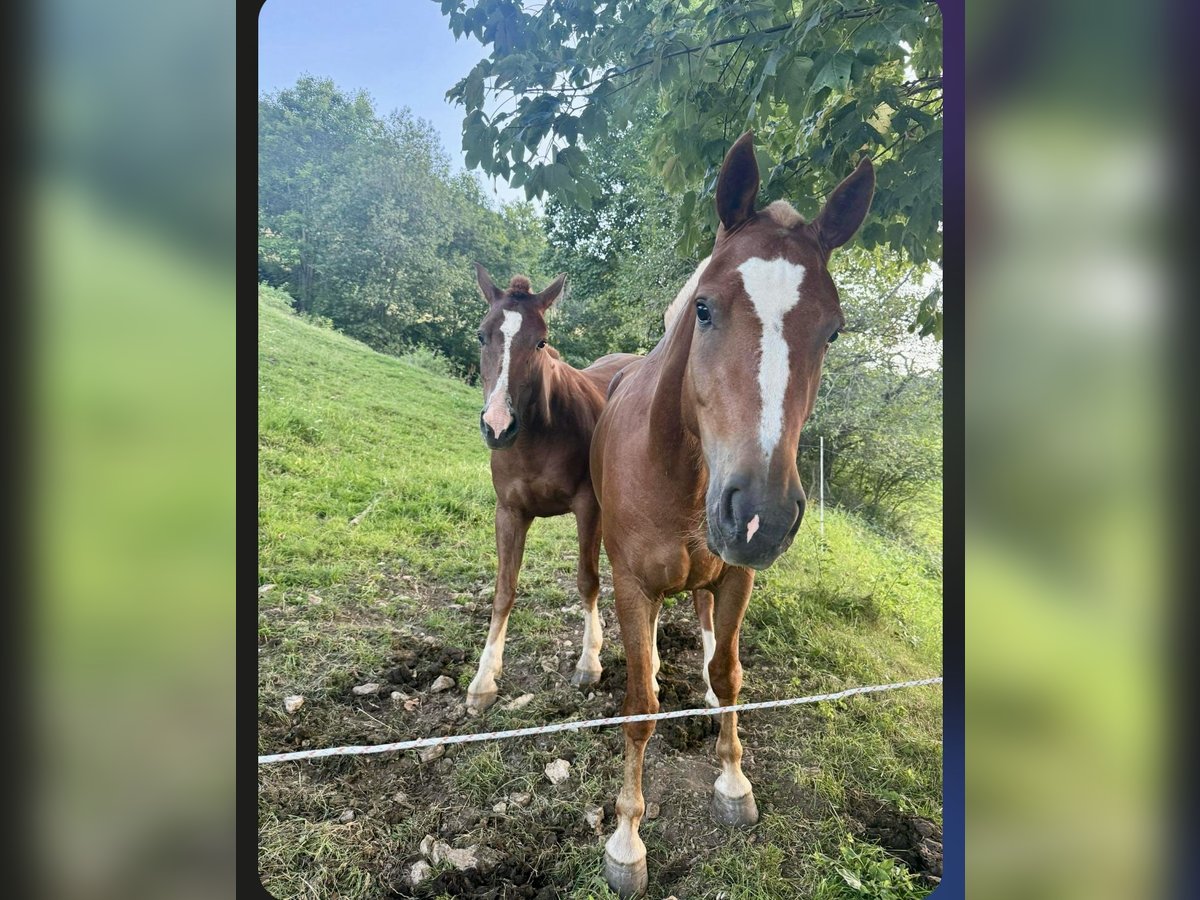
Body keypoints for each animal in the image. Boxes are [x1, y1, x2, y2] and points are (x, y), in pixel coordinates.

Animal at [465, 264, 648, 715]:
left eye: (541, 341)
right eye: (481, 335)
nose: (498, 426)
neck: (538, 436)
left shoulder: (588, 508)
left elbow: (587, 581)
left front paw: (589, 663)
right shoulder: (509, 513)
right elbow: (504, 591)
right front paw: (483, 680)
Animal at [595, 130, 878, 897]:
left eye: (833, 332)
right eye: (704, 307)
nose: (761, 514)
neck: (681, 471)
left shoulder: (735, 578)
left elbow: (729, 676)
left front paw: (732, 782)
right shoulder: (633, 585)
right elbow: (640, 707)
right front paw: (626, 840)